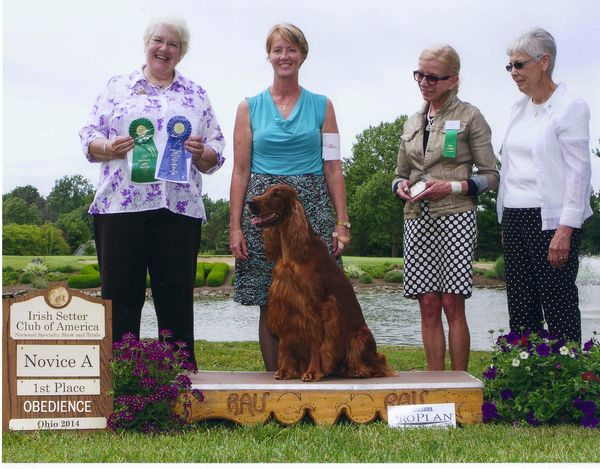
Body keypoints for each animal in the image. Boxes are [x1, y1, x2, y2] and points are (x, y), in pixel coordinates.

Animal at [246, 183, 396, 380]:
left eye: (276, 194)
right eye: (265, 191)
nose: (250, 203)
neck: (292, 254)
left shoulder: (318, 308)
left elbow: (317, 344)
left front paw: (312, 372)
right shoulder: (285, 304)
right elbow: (286, 343)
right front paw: (285, 370)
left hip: (360, 335)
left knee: (377, 363)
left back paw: (358, 370)